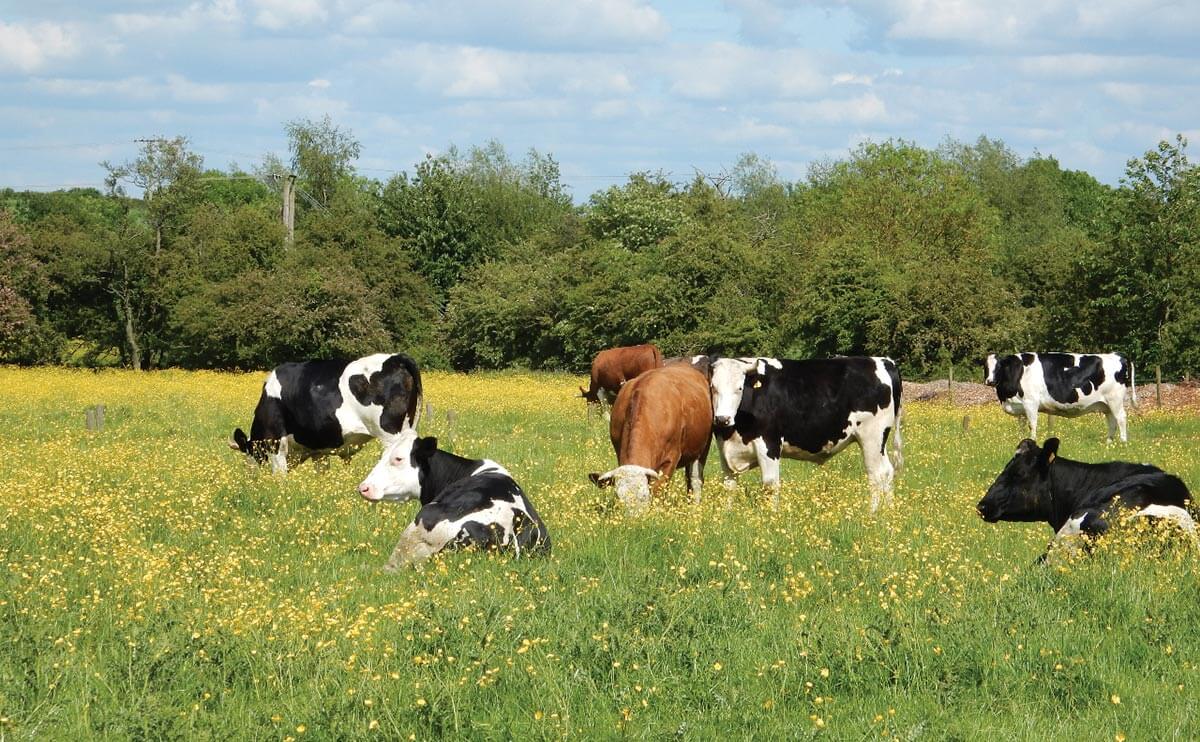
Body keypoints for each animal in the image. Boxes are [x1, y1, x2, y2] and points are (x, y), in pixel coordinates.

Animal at [229, 353, 422, 474]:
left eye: (248, 453)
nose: (251, 476)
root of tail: (395, 358)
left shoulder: (275, 442)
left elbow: (280, 477)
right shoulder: (318, 451)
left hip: (390, 434)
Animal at [589, 364, 713, 511]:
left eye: (644, 497)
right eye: (619, 498)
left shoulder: (671, 458)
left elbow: (658, 490)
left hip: (703, 447)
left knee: (695, 478)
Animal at [709, 356, 903, 511]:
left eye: (739, 388)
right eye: (713, 387)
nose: (722, 419)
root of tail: (884, 361)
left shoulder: (769, 444)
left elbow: (770, 484)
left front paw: (771, 518)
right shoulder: (724, 450)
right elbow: (729, 484)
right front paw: (727, 515)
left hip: (872, 437)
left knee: (877, 474)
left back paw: (872, 514)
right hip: (878, 442)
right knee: (887, 471)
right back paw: (889, 512)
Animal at [984, 352, 1135, 442]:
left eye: (999, 366)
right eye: (985, 366)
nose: (989, 381)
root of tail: (1117, 355)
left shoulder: (1031, 402)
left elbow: (1032, 424)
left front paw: (1032, 440)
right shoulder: (1020, 406)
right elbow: (1021, 425)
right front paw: (1021, 439)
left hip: (1115, 399)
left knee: (1121, 418)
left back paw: (1123, 441)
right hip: (1107, 404)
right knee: (1112, 420)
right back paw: (1109, 442)